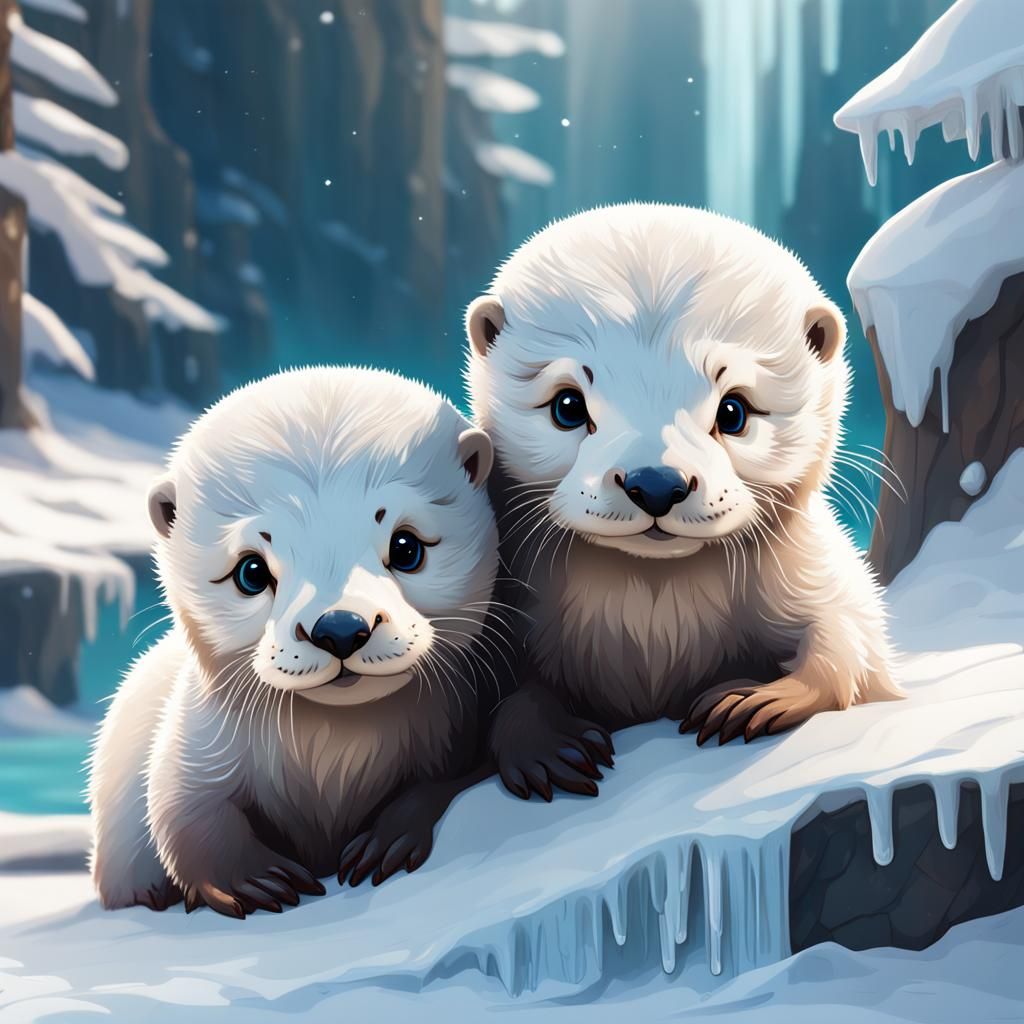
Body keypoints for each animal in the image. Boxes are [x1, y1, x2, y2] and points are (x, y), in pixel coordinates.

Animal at [89, 367, 498, 916]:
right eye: (251, 571)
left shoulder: (455, 726)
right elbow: (185, 813)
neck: (332, 763)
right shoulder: (199, 744)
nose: (341, 627)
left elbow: (451, 780)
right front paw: (253, 880)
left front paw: (389, 838)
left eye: (406, 546)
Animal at [466, 203, 899, 801]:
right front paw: (547, 747)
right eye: (568, 406)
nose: (655, 483)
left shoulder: (813, 571)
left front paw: (756, 700)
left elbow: (846, 639)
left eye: (733, 411)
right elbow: (505, 692)